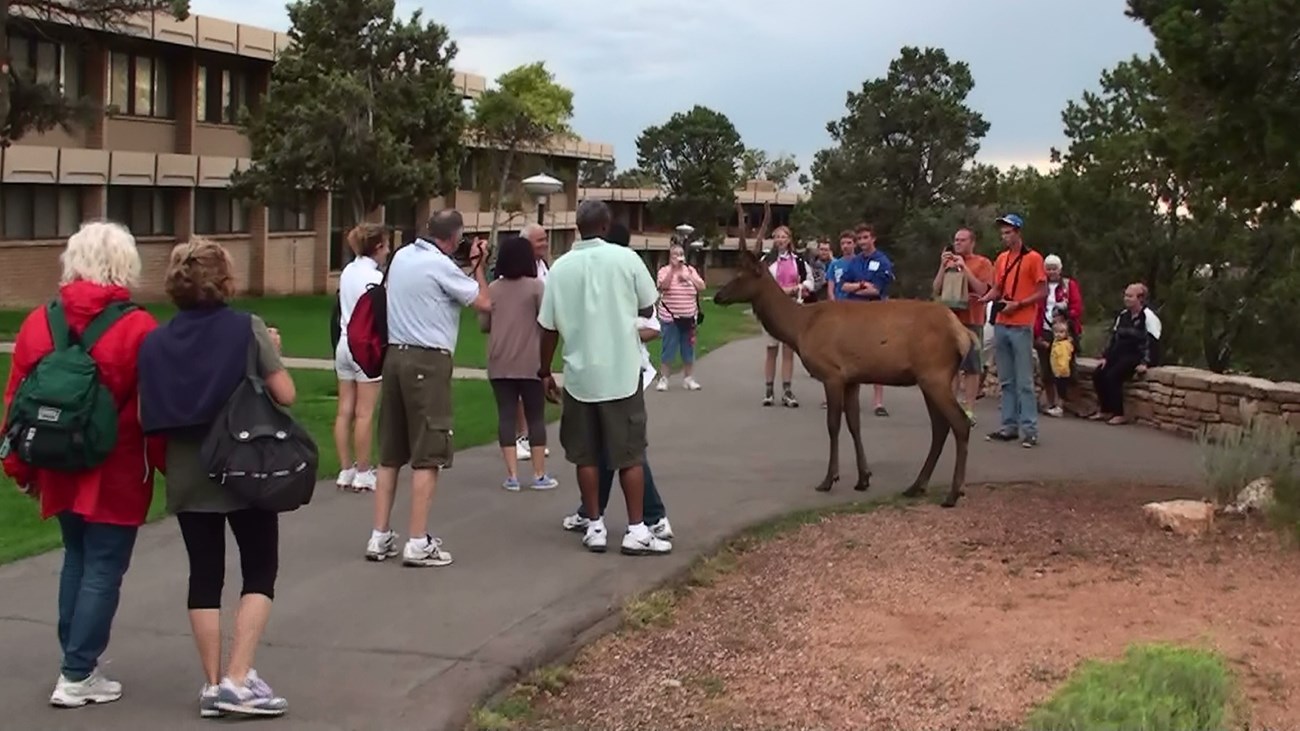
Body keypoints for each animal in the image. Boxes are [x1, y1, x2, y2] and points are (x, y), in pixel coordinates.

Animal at [717, 208, 977, 504]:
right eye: (735, 271)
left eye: (742, 275)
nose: (718, 296)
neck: (799, 327)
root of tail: (963, 334)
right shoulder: (852, 378)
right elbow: (855, 424)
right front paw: (863, 478)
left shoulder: (832, 373)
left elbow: (833, 425)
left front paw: (829, 479)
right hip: (930, 378)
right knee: (940, 427)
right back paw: (916, 485)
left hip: (935, 373)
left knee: (960, 423)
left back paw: (953, 493)